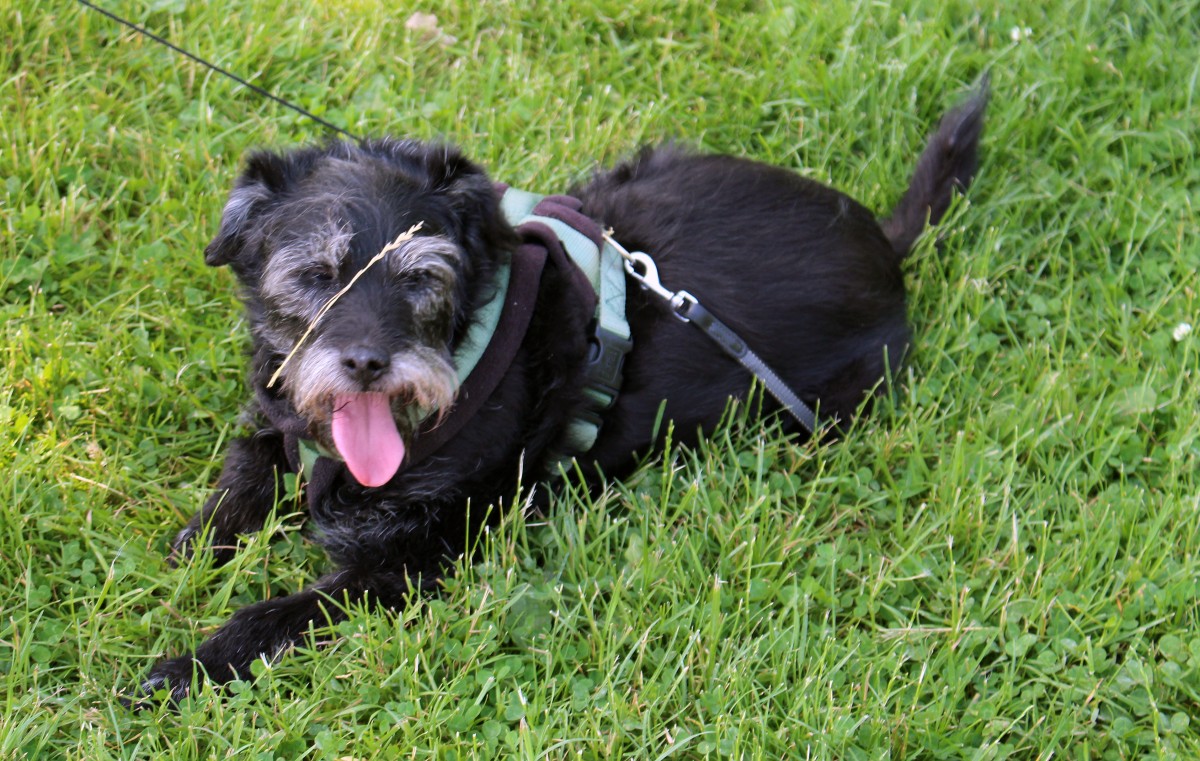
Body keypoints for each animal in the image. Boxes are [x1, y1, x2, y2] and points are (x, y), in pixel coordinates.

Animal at [138, 78, 984, 700]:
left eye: (420, 278)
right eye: (317, 273)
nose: (370, 363)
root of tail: (883, 243)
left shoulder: (414, 557)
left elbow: (285, 611)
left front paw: (191, 664)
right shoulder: (273, 423)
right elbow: (240, 481)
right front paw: (194, 548)